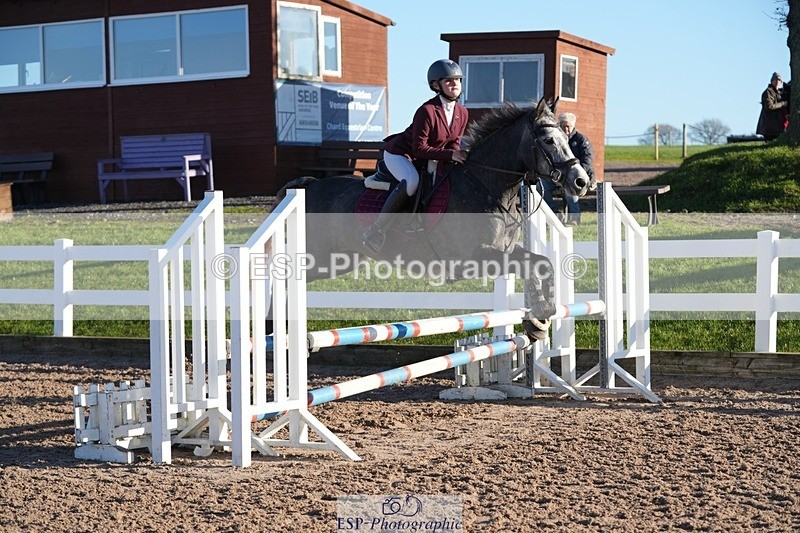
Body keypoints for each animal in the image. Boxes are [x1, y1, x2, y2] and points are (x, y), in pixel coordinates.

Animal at [276, 97, 591, 340]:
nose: (581, 181)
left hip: (340, 261)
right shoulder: (474, 257)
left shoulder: (504, 250)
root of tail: (308, 185)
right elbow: (532, 266)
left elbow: (542, 263)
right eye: (548, 140)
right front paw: (540, 315)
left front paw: (539, 319)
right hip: (317, 257)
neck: (486, 184)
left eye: (567, 139)